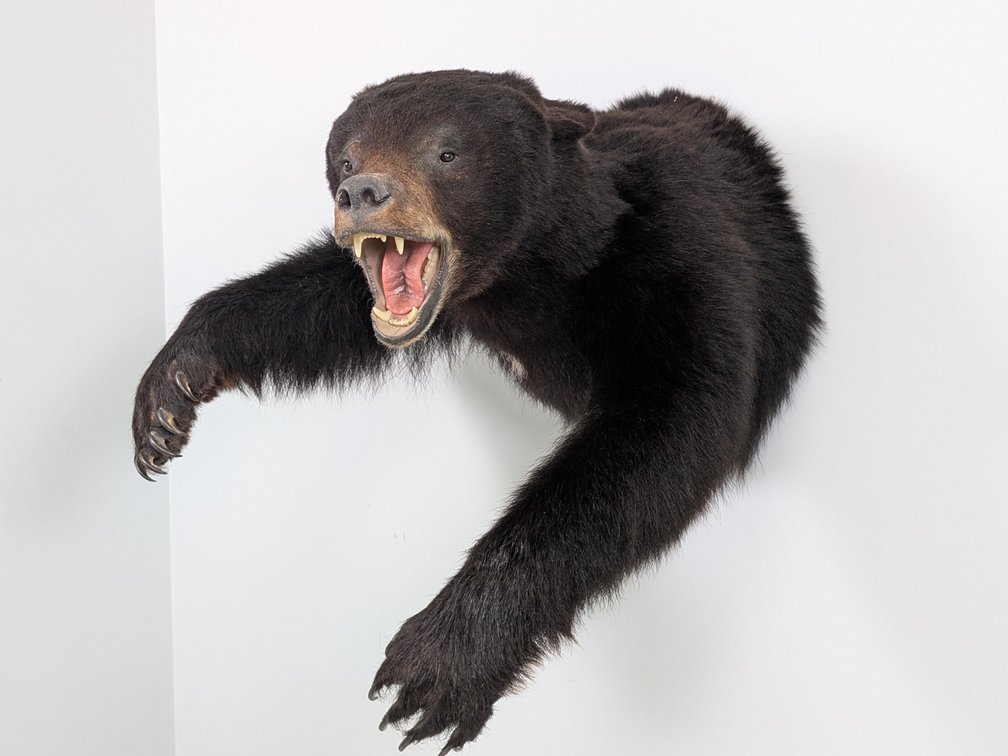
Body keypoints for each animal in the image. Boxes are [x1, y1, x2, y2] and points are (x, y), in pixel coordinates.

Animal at [133, 69, 822, 754]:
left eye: (446, 153)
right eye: (346, 156)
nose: (361, 193)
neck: (531, 274)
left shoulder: (672, 263)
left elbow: (667, 428)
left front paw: (435, 666)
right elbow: (326, 295)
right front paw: (170, 392)